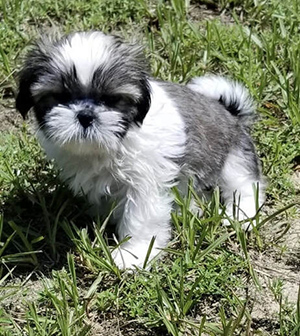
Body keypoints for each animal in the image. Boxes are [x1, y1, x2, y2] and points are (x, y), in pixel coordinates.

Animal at [16, 30, 264, 268]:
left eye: (111, 99)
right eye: (59, 96)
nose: (85, 115)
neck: (110, 145)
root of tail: (229, 111)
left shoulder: (145, 182)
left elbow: (141, 218)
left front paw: (133, 255)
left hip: (233, 156)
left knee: (244, 184)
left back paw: (241, 214)